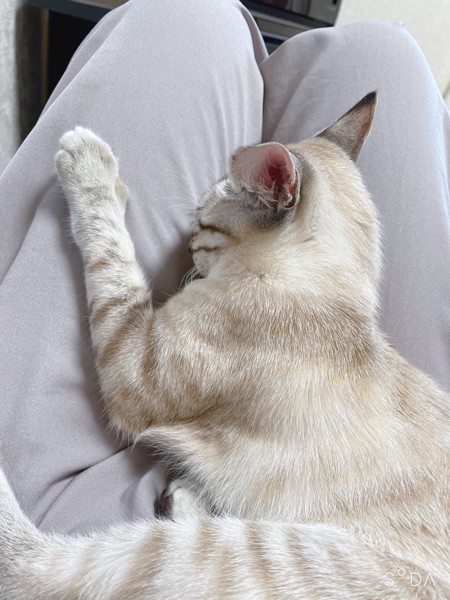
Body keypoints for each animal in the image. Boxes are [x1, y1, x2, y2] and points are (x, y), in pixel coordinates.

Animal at [0, 91, 450, 596]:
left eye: (201, 221)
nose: (185, 245)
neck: (334, 296)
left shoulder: (131, 363)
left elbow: (114, 260)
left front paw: (93, 167)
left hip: (227, 551)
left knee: (35, 567)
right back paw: (186, 497)